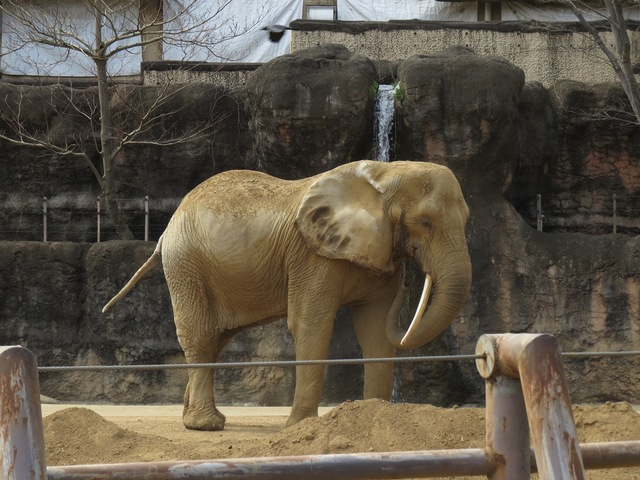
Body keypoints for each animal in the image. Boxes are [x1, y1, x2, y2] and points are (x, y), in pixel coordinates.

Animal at [101, 160, 470, 432]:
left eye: (467, 220)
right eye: (425, 222)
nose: (410, 284)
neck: (386, 171)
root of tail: (167, 229)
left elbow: (375, 330)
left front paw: (374, 414)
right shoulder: (311, 256)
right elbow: (311, 323)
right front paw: (301, 426)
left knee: (217, 337)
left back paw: (193, 417)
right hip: (185, 263)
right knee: (201, 334)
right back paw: (205, 425)